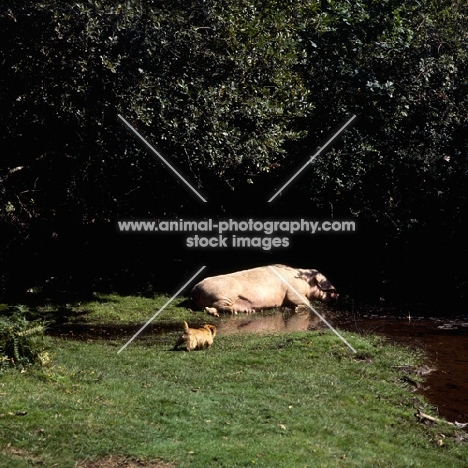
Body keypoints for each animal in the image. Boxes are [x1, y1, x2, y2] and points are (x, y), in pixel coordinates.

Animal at [188, 266, 338, 316]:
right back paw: (234, 312)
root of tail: (195, 288)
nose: (338, 294)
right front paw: (296, 309)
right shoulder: (293, 291)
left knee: (209, 308)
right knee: (217, 305)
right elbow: (304, 301)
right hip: (225, 294)